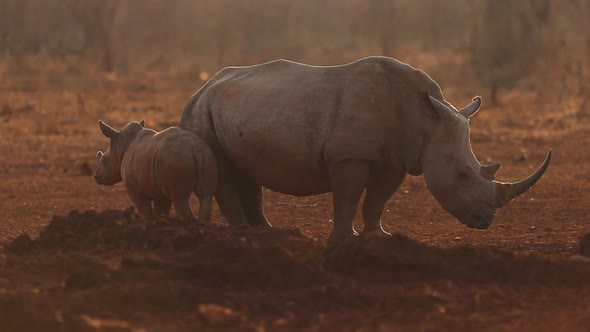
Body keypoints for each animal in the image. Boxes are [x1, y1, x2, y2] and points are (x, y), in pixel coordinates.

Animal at [182, 56, 556, 244]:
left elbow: (378, 199)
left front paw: (379, 237)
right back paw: (243, 234)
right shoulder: (349, 155)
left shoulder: (397, 158)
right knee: (222, 169)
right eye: (463, 174)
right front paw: (343, 242)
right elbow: (348, 197)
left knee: (245, 171)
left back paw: (266, 233)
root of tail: (202, 86)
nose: (485, 221)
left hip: (231, 107)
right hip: (202, 112)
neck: (426, 120)